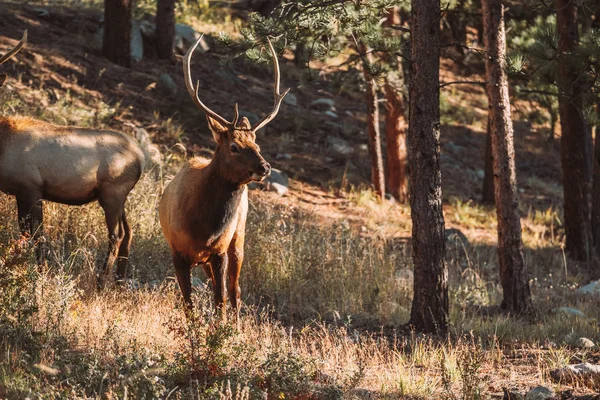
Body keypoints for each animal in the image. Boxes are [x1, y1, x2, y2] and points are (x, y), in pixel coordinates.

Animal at [0, 30, 148, 282]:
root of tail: (140, 158)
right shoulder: (19, 192)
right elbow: (26, 233)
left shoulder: (31, 187)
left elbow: (37, 235)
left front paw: (41, 274)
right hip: (120, 198)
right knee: (129, 233)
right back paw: (119, 281)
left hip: (113, 193)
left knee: (116, 235)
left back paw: (101, 280)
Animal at [159, 35, 290, 322]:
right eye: (234, 147)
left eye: (257, 144)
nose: (265, 167)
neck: (203, 227)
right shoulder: (177, 252)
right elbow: (188, 304)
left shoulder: (219, 251)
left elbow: (221, 300)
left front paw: (223, 332)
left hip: (238, 236)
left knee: (235, 291)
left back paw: (237, 326)